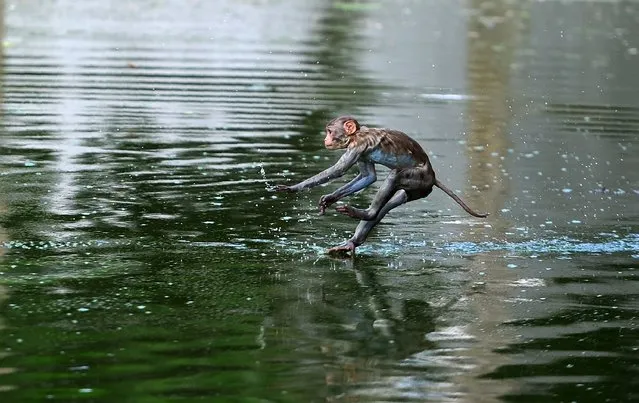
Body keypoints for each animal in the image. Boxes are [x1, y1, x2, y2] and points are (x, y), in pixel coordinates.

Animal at [276, 116, 490, 256]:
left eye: (330, 131)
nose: (325, 139)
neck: (356, 134)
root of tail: (433, 176)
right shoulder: (361, 152)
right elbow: (368, 177)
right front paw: (329, 199)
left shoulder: (358, 146)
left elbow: (339, 171)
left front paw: (294, 188)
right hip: (418, 190)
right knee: (388, 205)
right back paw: (353, 241)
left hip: (419, 178)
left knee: (394, 177)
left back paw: (366, 213)